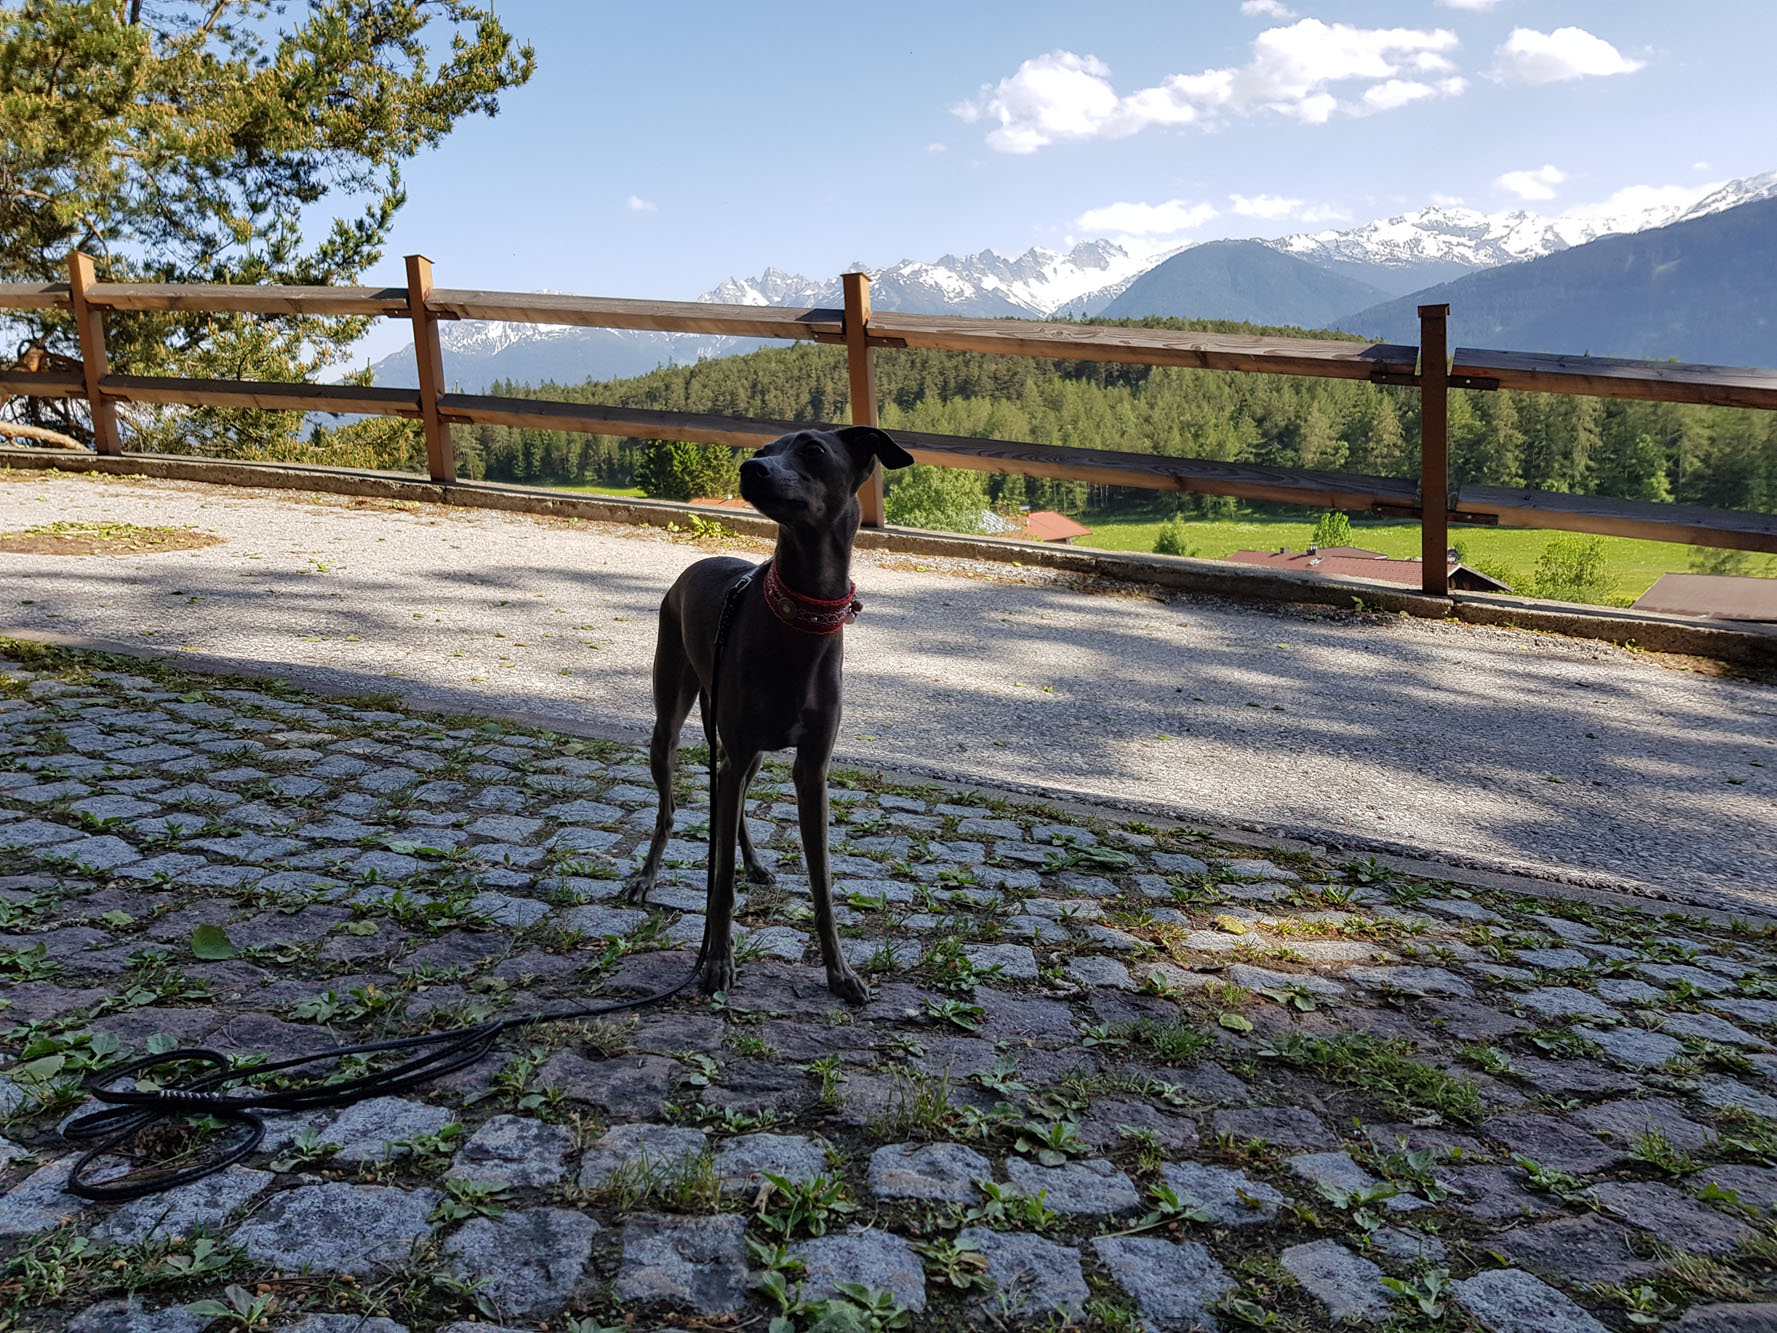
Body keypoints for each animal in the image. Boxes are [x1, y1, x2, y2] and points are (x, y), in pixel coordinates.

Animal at [624, 425, 916, 1001]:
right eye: (764, 448)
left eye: (813, 450)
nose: (749, 468)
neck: (802, 618)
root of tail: (696, 565)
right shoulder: (737, 754)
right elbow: (719, 885)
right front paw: (716, 962)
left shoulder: (812, 770)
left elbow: (821, 884)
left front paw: (840, 972)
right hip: (673, 722)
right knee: (669, 809)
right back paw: (647, 876)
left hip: (751, 754)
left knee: (733, 812)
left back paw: (755, 863)